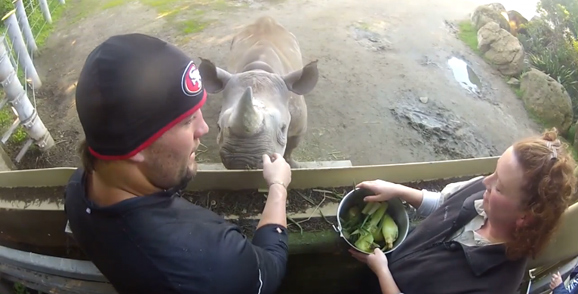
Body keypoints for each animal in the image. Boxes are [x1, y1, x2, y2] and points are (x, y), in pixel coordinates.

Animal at [197, 16, 316, 170]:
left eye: (283, 128)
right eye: (218, 127)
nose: (241, 161)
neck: (259, 68)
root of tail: (266, 18)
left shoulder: (299, 127)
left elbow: (291, 146)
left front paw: (293, 165)